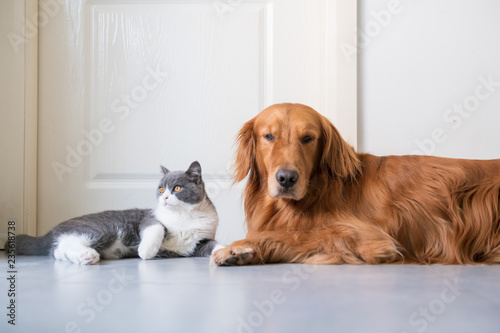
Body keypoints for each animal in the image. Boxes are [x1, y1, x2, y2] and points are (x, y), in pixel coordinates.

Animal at [10, 161, 223, 264]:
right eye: (161, 189)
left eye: (177, 188)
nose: (164, 198)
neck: (185, 216)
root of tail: (50, 231)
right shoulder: (149, 218)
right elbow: (156, 228)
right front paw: (146, 251)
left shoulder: (200, 241)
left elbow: (212, 245)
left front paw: (227, 253)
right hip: (103, 229)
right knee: (68, 240)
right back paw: (87, 254)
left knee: (57, 250)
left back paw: (84, 257)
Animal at [210, 103, 500, 264]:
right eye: (268, 136)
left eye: (308, 138)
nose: (287, 178)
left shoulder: (369, 237)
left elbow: (297, 234)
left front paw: (238, 247)